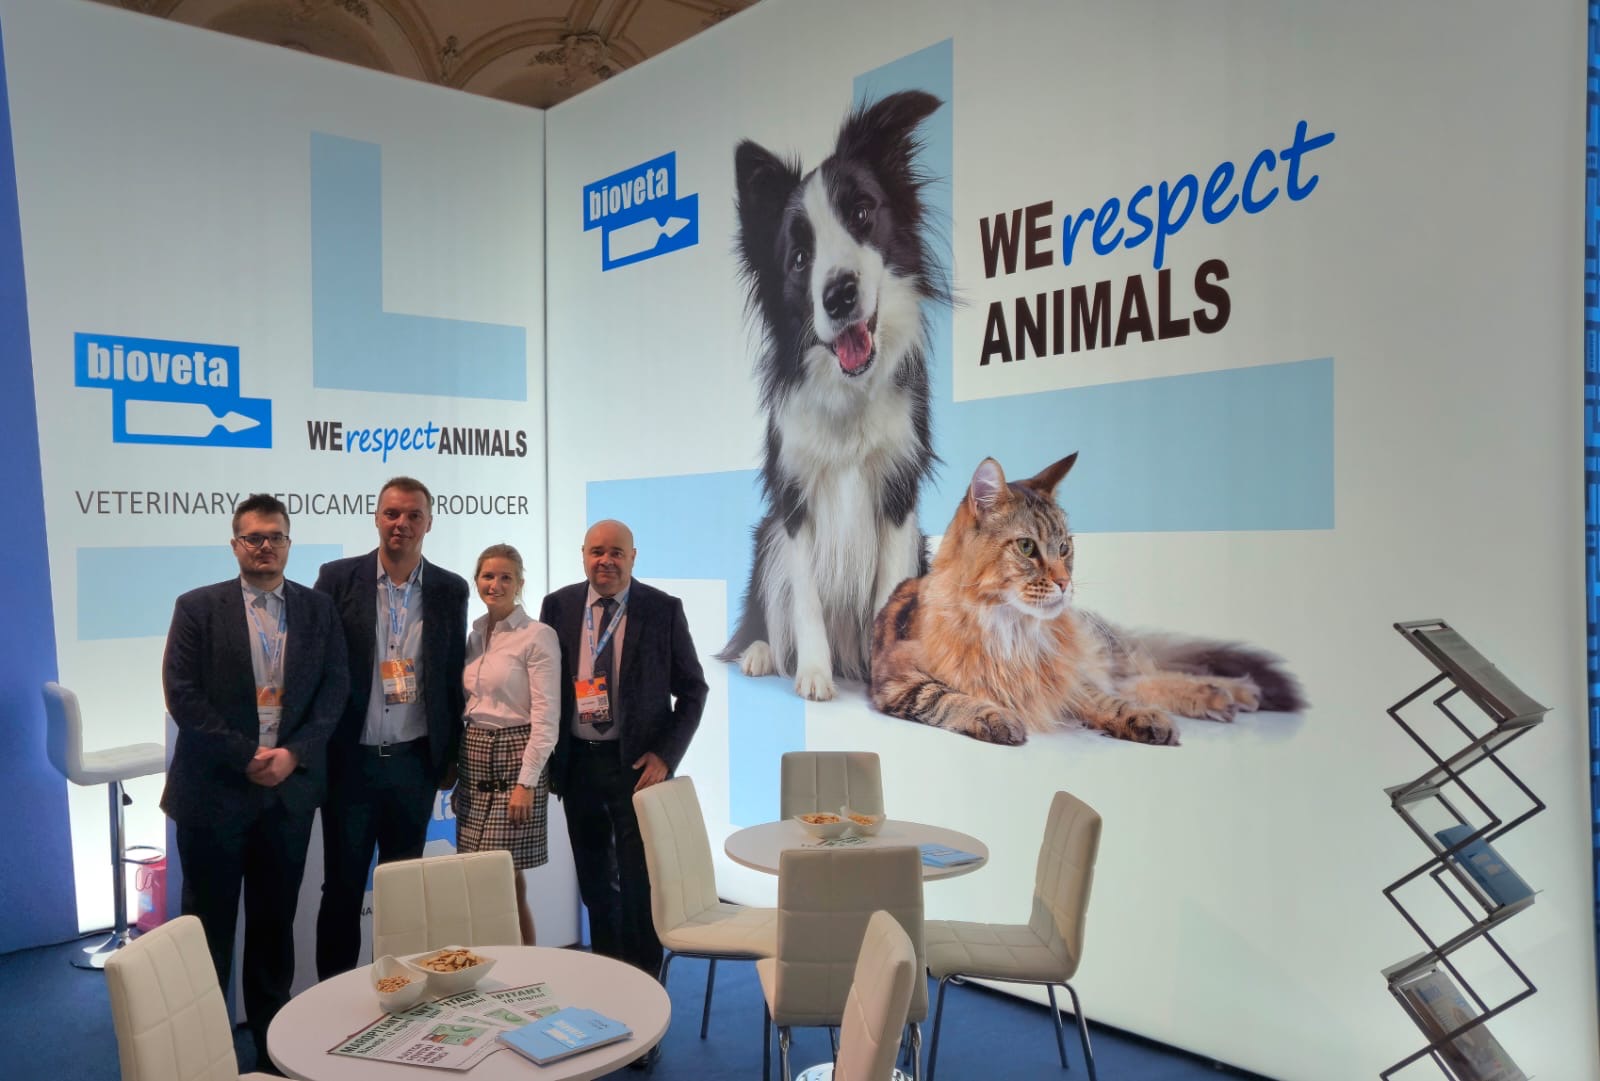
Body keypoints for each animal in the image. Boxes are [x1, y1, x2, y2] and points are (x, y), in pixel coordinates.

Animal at [717, 90, 949, 701]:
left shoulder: (897, 493)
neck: (849, 390)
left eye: (863, 214)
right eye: (799, 258)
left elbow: (888, 591)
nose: (839, 293)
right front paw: (814, 675)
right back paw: (759, 653)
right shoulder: (795, 500)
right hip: (767, 535)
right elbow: (805, 599)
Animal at [870, 452, 1305, 745]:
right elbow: (947, 697)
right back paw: (1228, 697)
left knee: (1140, 678)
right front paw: (996, 717)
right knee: (1137, 681)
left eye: (1065, 548)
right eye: (1027, 547)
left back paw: (1235, 692)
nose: (1065, 584)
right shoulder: (898, 679)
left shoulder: (1066, 678)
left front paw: (1142, 720)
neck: (1013, 630)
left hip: (1103, 653)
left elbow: (1106, 701)